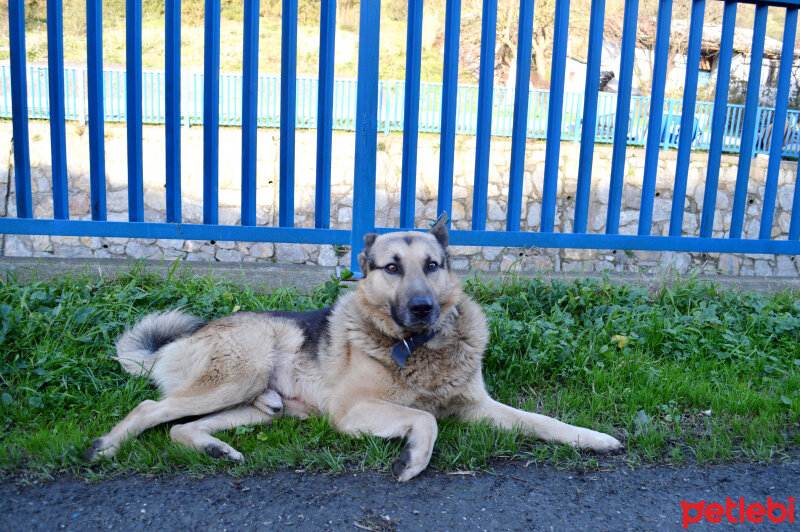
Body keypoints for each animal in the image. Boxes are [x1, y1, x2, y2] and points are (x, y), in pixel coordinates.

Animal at [89, 215, 624, 482]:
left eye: (432, 265)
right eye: (391, 267)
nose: (424, 308)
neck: (415, 347)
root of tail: (181, 341)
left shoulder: (477, 406)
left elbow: (543, 421)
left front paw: (593, 438)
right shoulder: (351, 414)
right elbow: (425, 419)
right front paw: (412, 460)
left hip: (263, 409)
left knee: (183, 428)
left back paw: (215, 449)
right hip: (238, 376)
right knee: (149, 407)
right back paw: (106, 446)